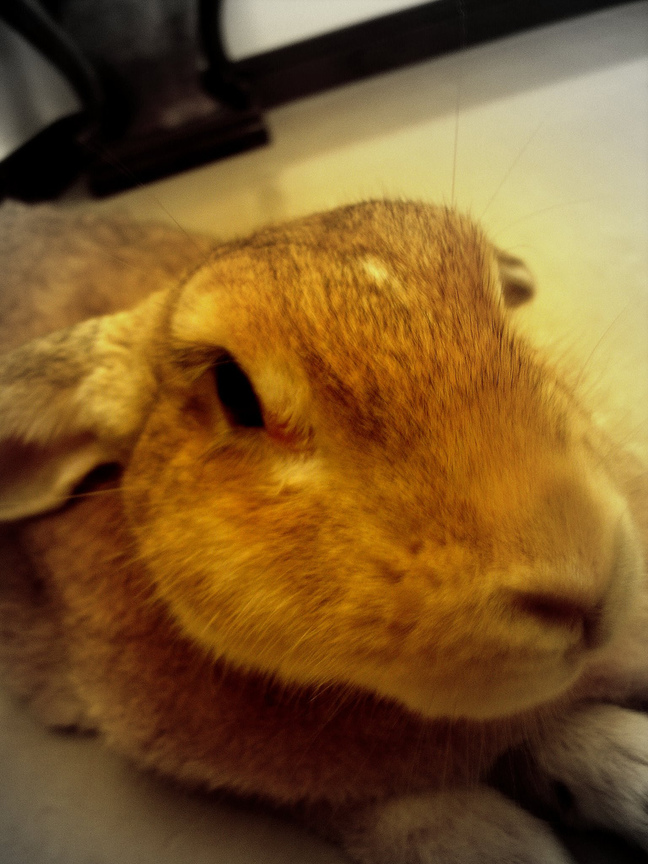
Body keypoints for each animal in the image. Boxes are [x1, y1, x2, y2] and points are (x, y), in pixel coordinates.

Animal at [0, 199, 647, 864]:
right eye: (234, 390)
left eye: (497, 300)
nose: (589, 581)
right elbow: (379, 810)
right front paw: (506, 845)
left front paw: (630, 767)